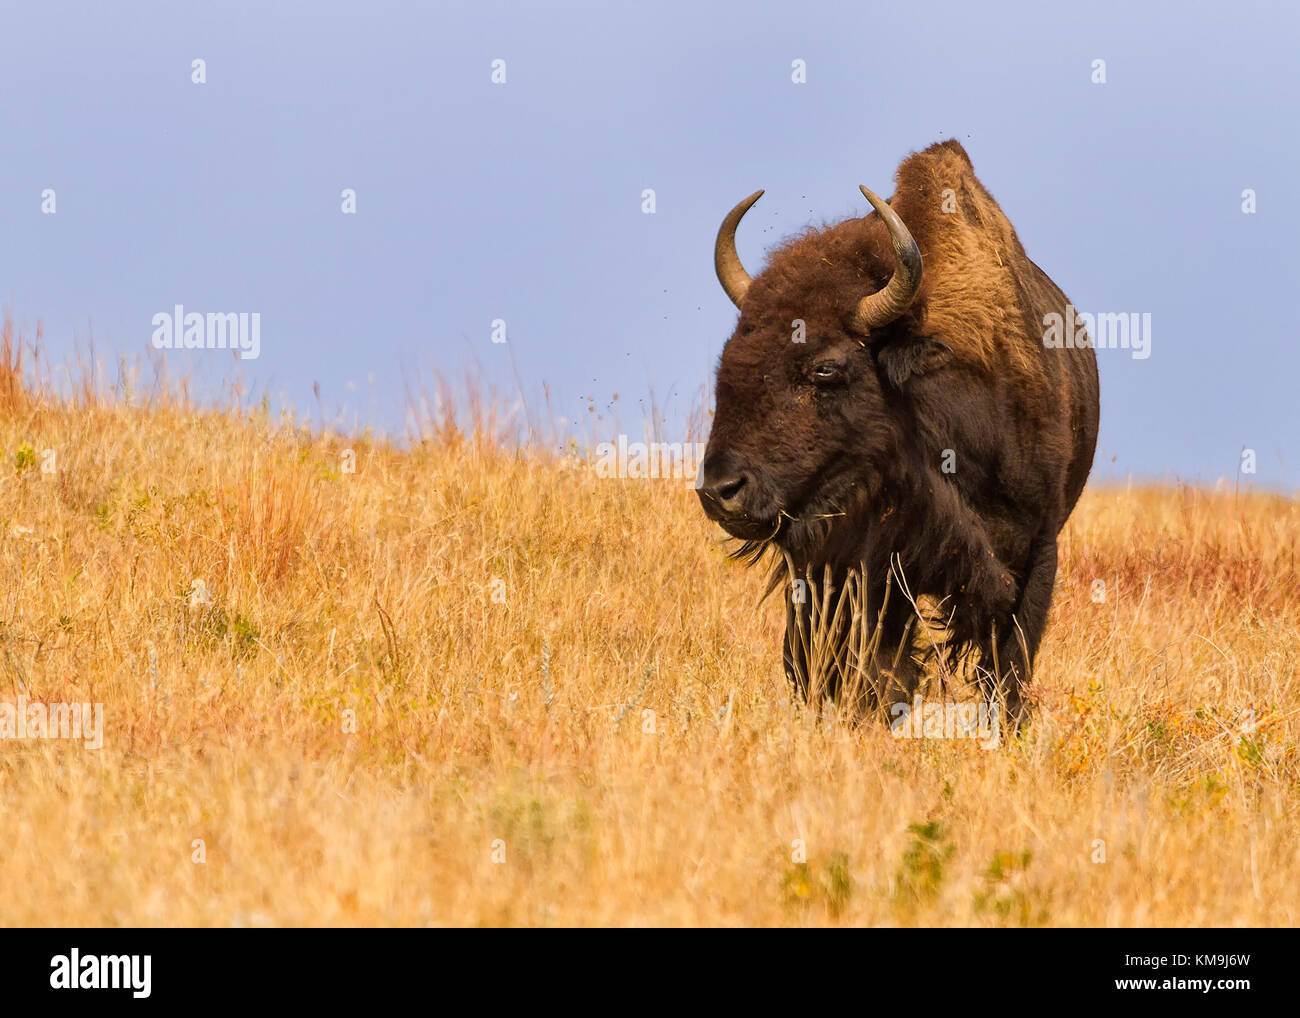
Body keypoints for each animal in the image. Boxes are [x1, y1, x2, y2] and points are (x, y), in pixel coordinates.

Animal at [698, 140, 1099, 725]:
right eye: (729, 360)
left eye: (825, 368)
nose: (721, 492)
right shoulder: (866, 571)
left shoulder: (1037, 554)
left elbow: (1008, 673)